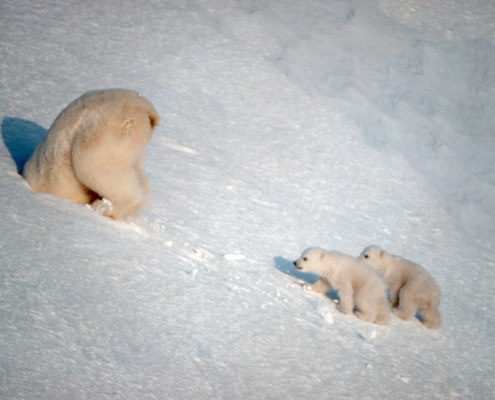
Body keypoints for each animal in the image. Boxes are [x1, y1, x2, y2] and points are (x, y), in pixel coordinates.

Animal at [21, 88, 159, 219]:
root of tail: (143, 106)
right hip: (135, 142)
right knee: (137, 172)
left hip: (106, 131)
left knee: (91, 163)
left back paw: (105, 208)